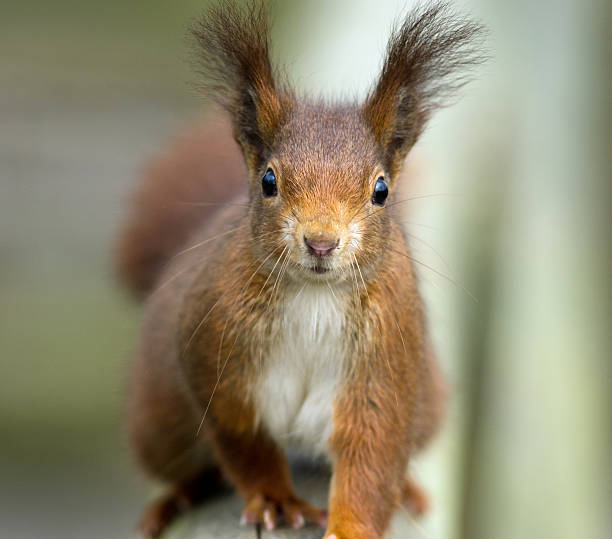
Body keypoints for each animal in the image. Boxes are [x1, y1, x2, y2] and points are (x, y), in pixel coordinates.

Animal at [117, 2, 486, 536]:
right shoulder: (215, 354)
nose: (321, 242)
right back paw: (173, 500)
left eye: (381, 190)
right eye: (269, 181)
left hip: (429, 398)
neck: (316, 294)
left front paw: (352, 525)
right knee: (187, 465)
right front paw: (275, 499)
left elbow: (372, 459)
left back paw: (410, 491)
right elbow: (243, 442)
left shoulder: (384, 366)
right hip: (159, 424)